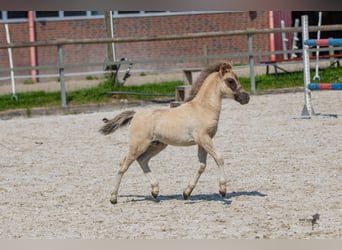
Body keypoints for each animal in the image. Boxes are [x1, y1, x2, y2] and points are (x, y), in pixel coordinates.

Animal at [99, 61, 248, 204]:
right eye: (230, 81)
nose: (246, 97)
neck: (203, 108)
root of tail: (135, 114)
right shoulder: (204, 138)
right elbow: (219, 158)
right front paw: (223, 190)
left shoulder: (203, 141)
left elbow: (202, 166)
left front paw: (186, 193)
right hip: (138, 145)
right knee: (123, 165)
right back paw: (113, 198)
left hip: (157, 145)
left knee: (142, 160)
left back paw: (155, 191)